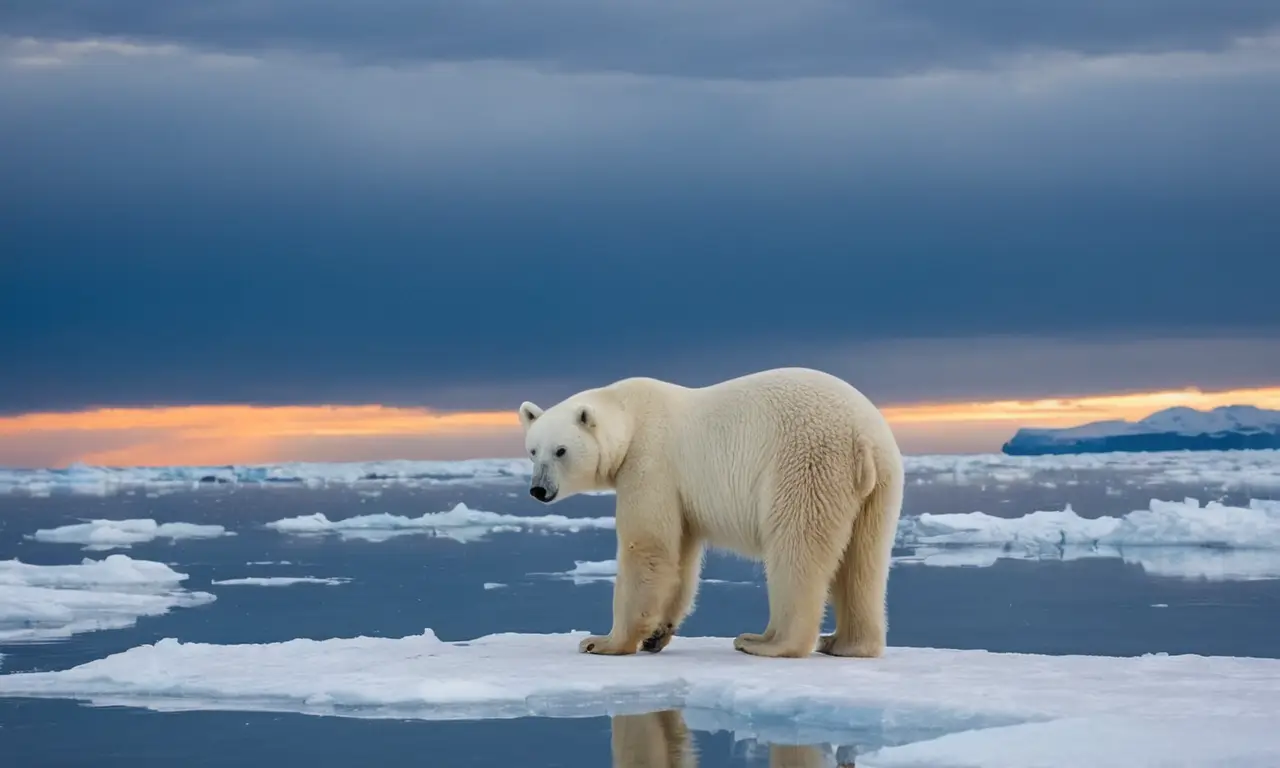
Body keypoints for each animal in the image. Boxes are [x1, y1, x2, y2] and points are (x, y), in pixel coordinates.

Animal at [518, 366, 905, 659]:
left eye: (561, 450)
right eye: (533, 450)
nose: (539, 490)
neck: (630, 412)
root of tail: (862, 437)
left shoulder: (650, 463)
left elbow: (648, 547)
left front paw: (602, 641)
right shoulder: (680, 491)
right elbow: (681, 558)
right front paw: (657, 634)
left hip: (805, 464)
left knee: (796, 551)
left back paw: (765, 642)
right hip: (880, 486)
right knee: (864, 561)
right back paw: (846, 643)